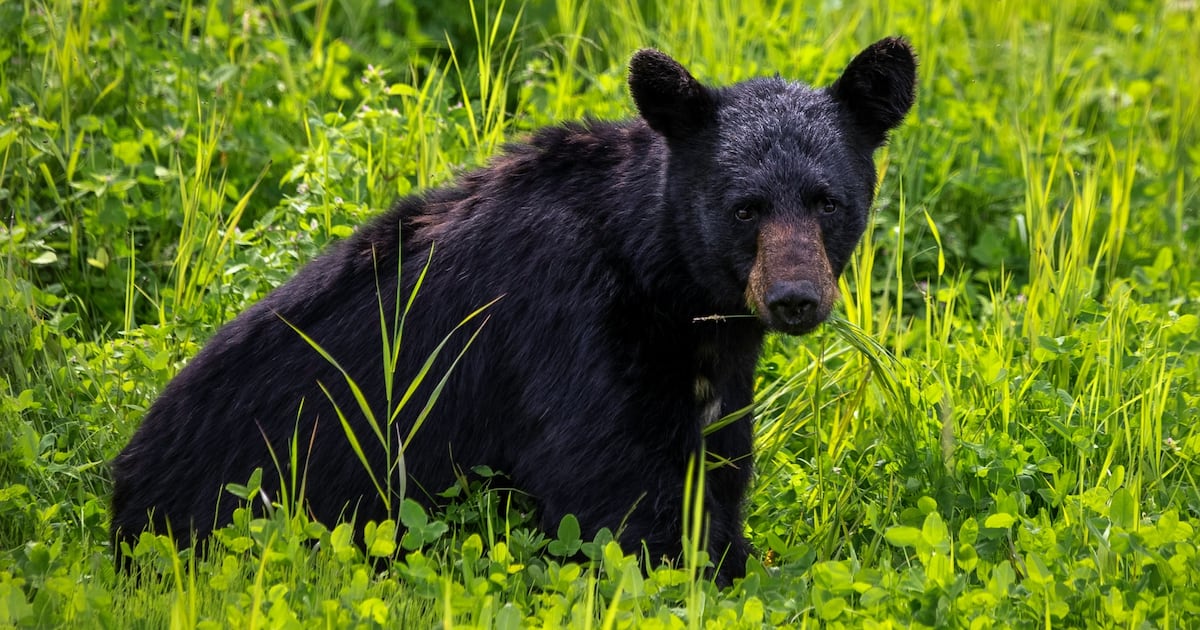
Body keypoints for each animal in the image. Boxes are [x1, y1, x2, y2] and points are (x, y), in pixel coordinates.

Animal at [111, 38, 917, 586]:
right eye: (744, 208)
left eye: (828, 202)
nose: (794, 298)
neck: (664, 283)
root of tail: (121, 486)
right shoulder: (571, 327)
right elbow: (614, 492)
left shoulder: (714, 369)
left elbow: (715, 466)